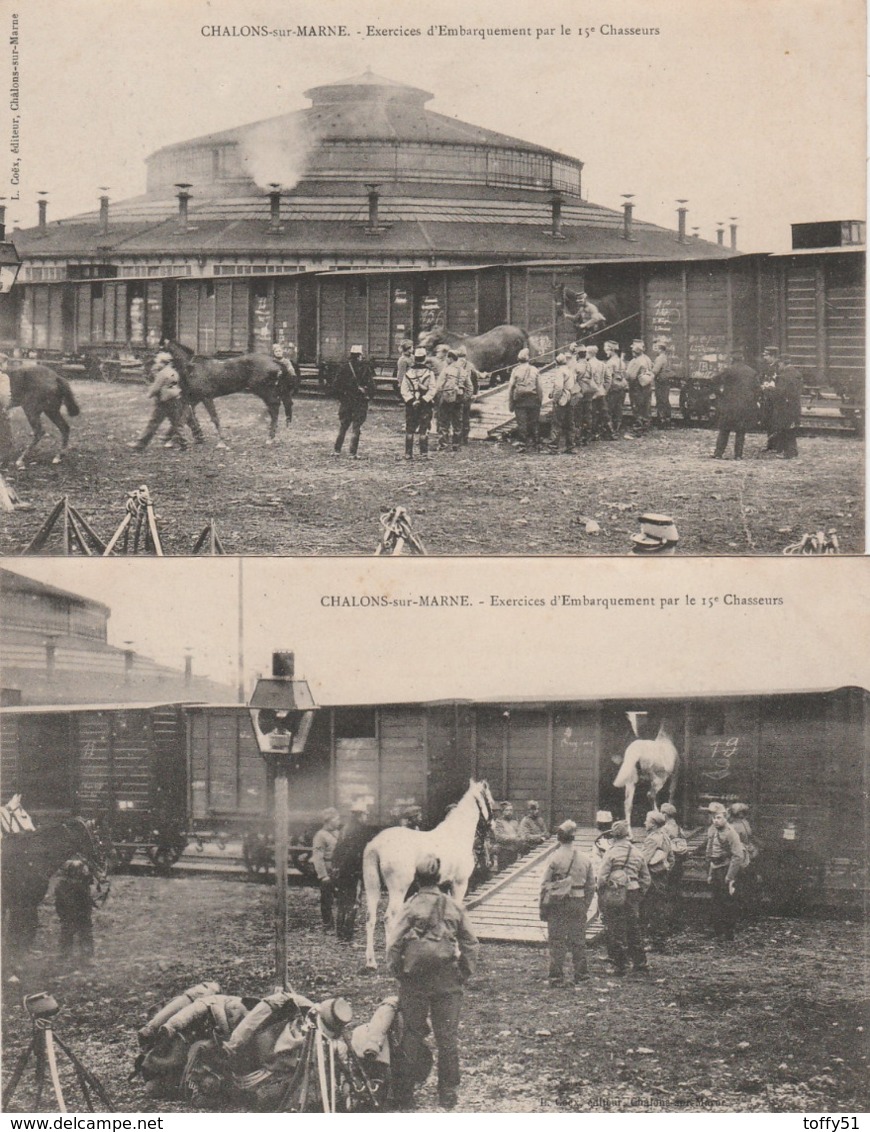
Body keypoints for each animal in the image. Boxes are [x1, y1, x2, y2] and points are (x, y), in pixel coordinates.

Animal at [154, 341, 291, 448]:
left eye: (161, 351)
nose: (154, 371)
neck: (192, 367)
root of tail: (274, 360)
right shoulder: (195, 399)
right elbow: (183, 418)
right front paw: (172, 441)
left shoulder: (206, 397)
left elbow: (214, 418)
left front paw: (222, 442)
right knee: (274, 408)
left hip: (264, 390)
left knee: (274, 407)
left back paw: (270, 437)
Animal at [362, 778, 495, 973]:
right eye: (490, 800)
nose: (493, 826)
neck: (456, 835)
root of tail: (376, 844)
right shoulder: (459, 883)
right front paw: (457, 952)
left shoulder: (444, 886)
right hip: (398, 888)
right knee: (389, 917)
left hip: (373, 886)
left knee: (370, 919)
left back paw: (371, 962)